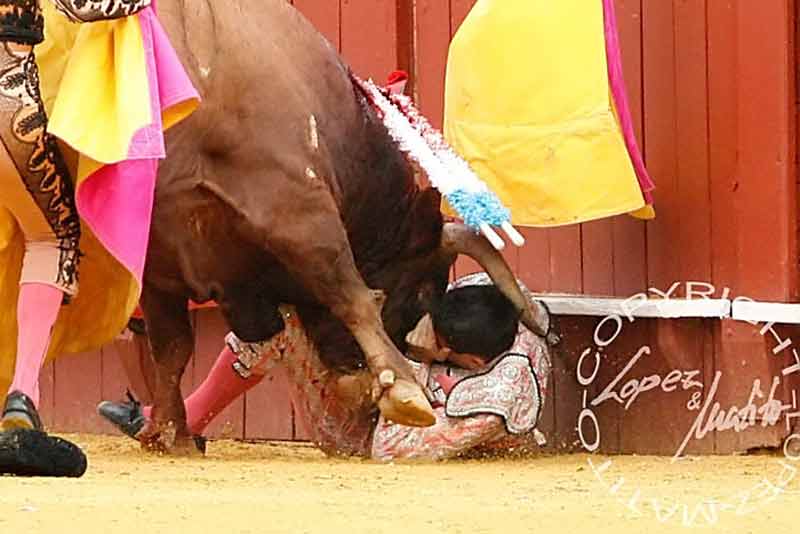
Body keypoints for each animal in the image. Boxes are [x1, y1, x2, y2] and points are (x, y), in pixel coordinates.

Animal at [141, 0, 548, 452]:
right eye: (422, 292)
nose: (354, 375)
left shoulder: (161, 256)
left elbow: (172, 347)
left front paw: (168, 433)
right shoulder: (297, 204)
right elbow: (351, 292)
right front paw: (404, 388)